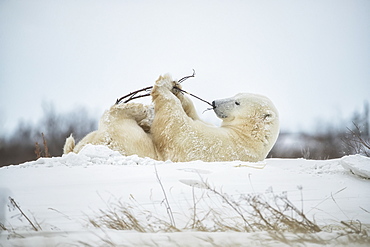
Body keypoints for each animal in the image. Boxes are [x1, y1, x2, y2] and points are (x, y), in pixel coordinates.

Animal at [150, 73, 278, 162]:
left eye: (237, 102)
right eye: (235, 95)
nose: (214, 103)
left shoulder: (223, 146)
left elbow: (178, 130)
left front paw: (164, 83)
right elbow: (196, 117)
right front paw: (177, 89)